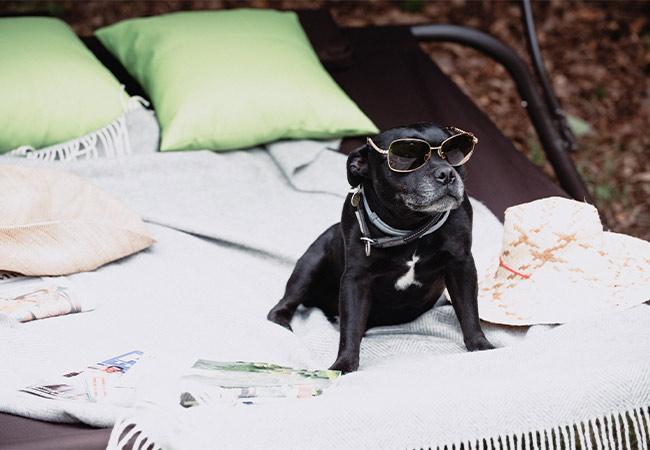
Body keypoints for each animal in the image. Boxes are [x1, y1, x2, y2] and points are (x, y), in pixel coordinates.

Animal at [268, 121, 492, 370]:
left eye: (454, 152)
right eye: (404, 157)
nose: (447, 173)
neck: (411, 227)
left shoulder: (461, 265)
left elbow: (469, 311)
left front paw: (481, 346)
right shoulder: (356, 280)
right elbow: (350, 328)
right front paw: (343, 366)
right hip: (309, 265)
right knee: (285, 303)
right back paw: (281, 324)